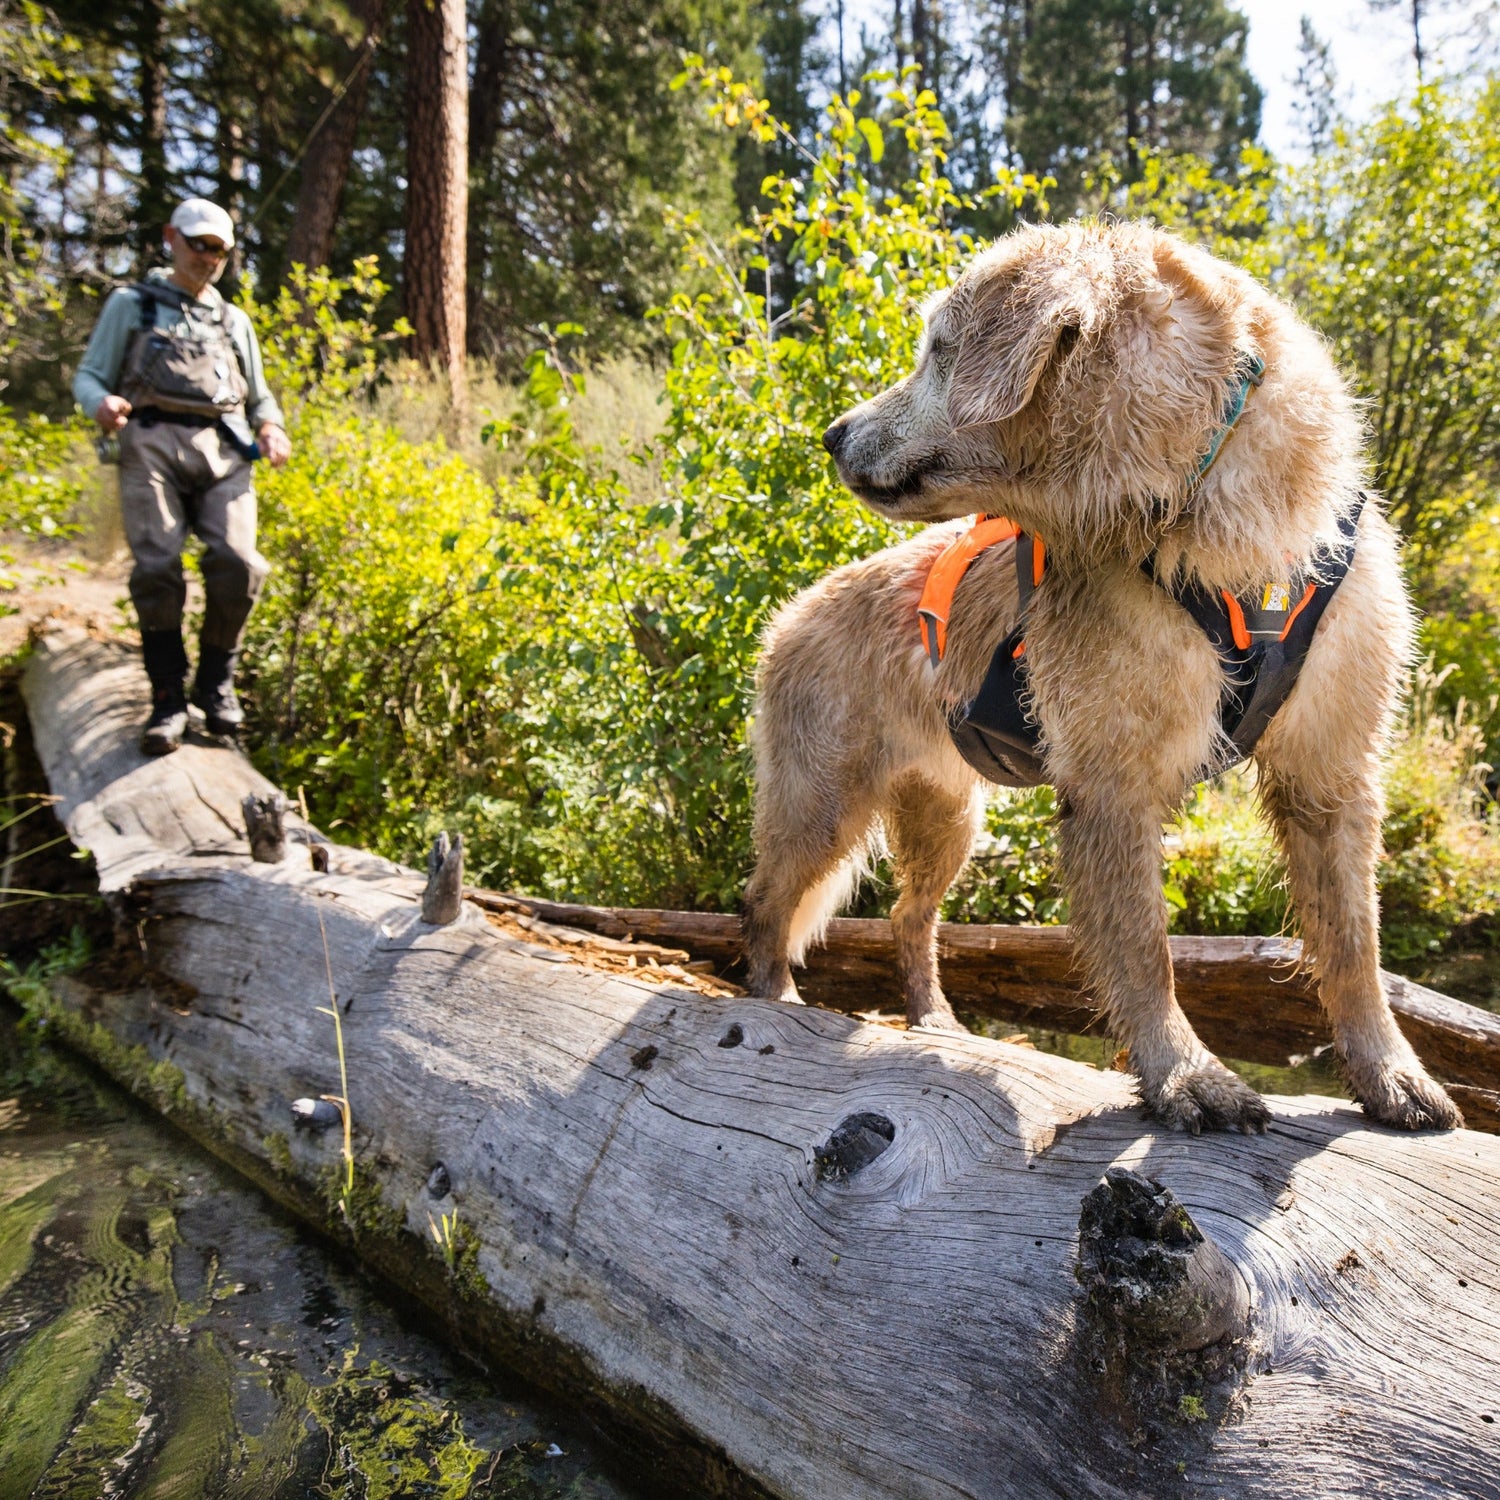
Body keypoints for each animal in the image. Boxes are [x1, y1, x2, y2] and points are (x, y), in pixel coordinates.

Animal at [741, 219, 1464, 1134]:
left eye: (937, 349)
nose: (832, 433)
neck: (1211, 520)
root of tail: (788, 615)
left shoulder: (1331, 773)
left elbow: (1354, 946)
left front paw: (1390, 1073)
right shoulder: (1112, 784)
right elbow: (1145, 949)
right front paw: (1187, 1075)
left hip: (947, 816)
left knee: (908, 916)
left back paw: (935, 1019)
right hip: (820, 803)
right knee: (766, 902)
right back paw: (774, 1001)